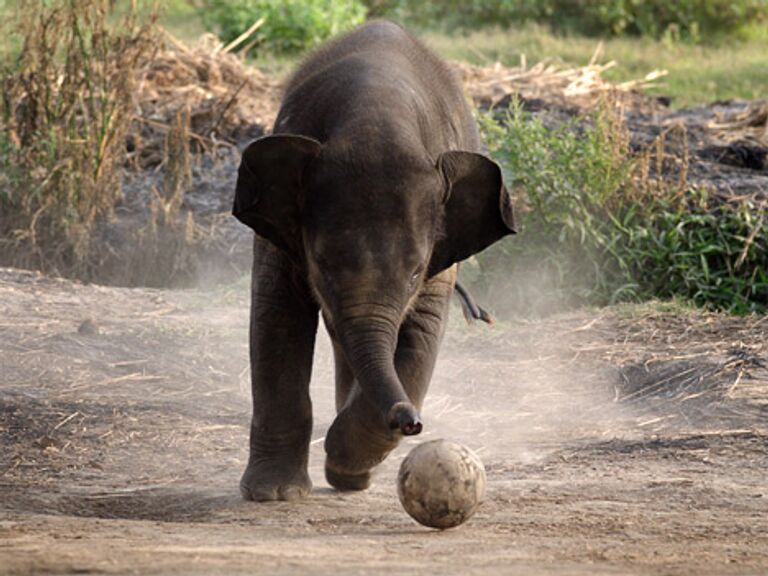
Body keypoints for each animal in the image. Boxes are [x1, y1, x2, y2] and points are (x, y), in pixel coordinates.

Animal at [231, 21, 512, 500]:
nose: (412, 421)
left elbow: (420, 336)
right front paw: (273, 495)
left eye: (416, 271)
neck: (377, 114)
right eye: (322, 264)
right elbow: (277, 318)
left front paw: (345, 465)